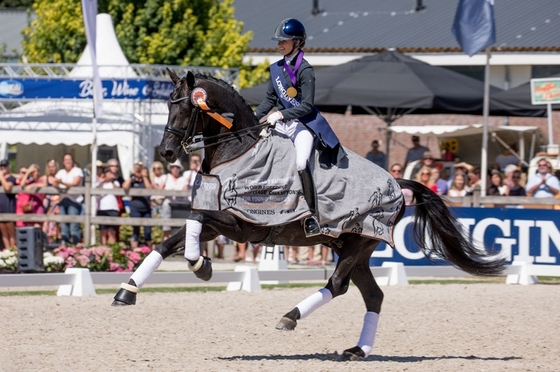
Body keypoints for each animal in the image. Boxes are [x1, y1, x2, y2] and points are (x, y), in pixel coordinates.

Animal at [111, 70, 506, 360]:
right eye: (167, 105)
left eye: (187, 109)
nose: (165, 152)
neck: (237, 150)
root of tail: (397, 181)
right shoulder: (219, 218)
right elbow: (168, 242)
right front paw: (128, 291)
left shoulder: (241, 224)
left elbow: (192, 221)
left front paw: (200, 266)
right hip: (351, 247)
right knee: (373, 295)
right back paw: (358, 350)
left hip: (359, 242)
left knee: (338, 285)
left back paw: (290, 318)